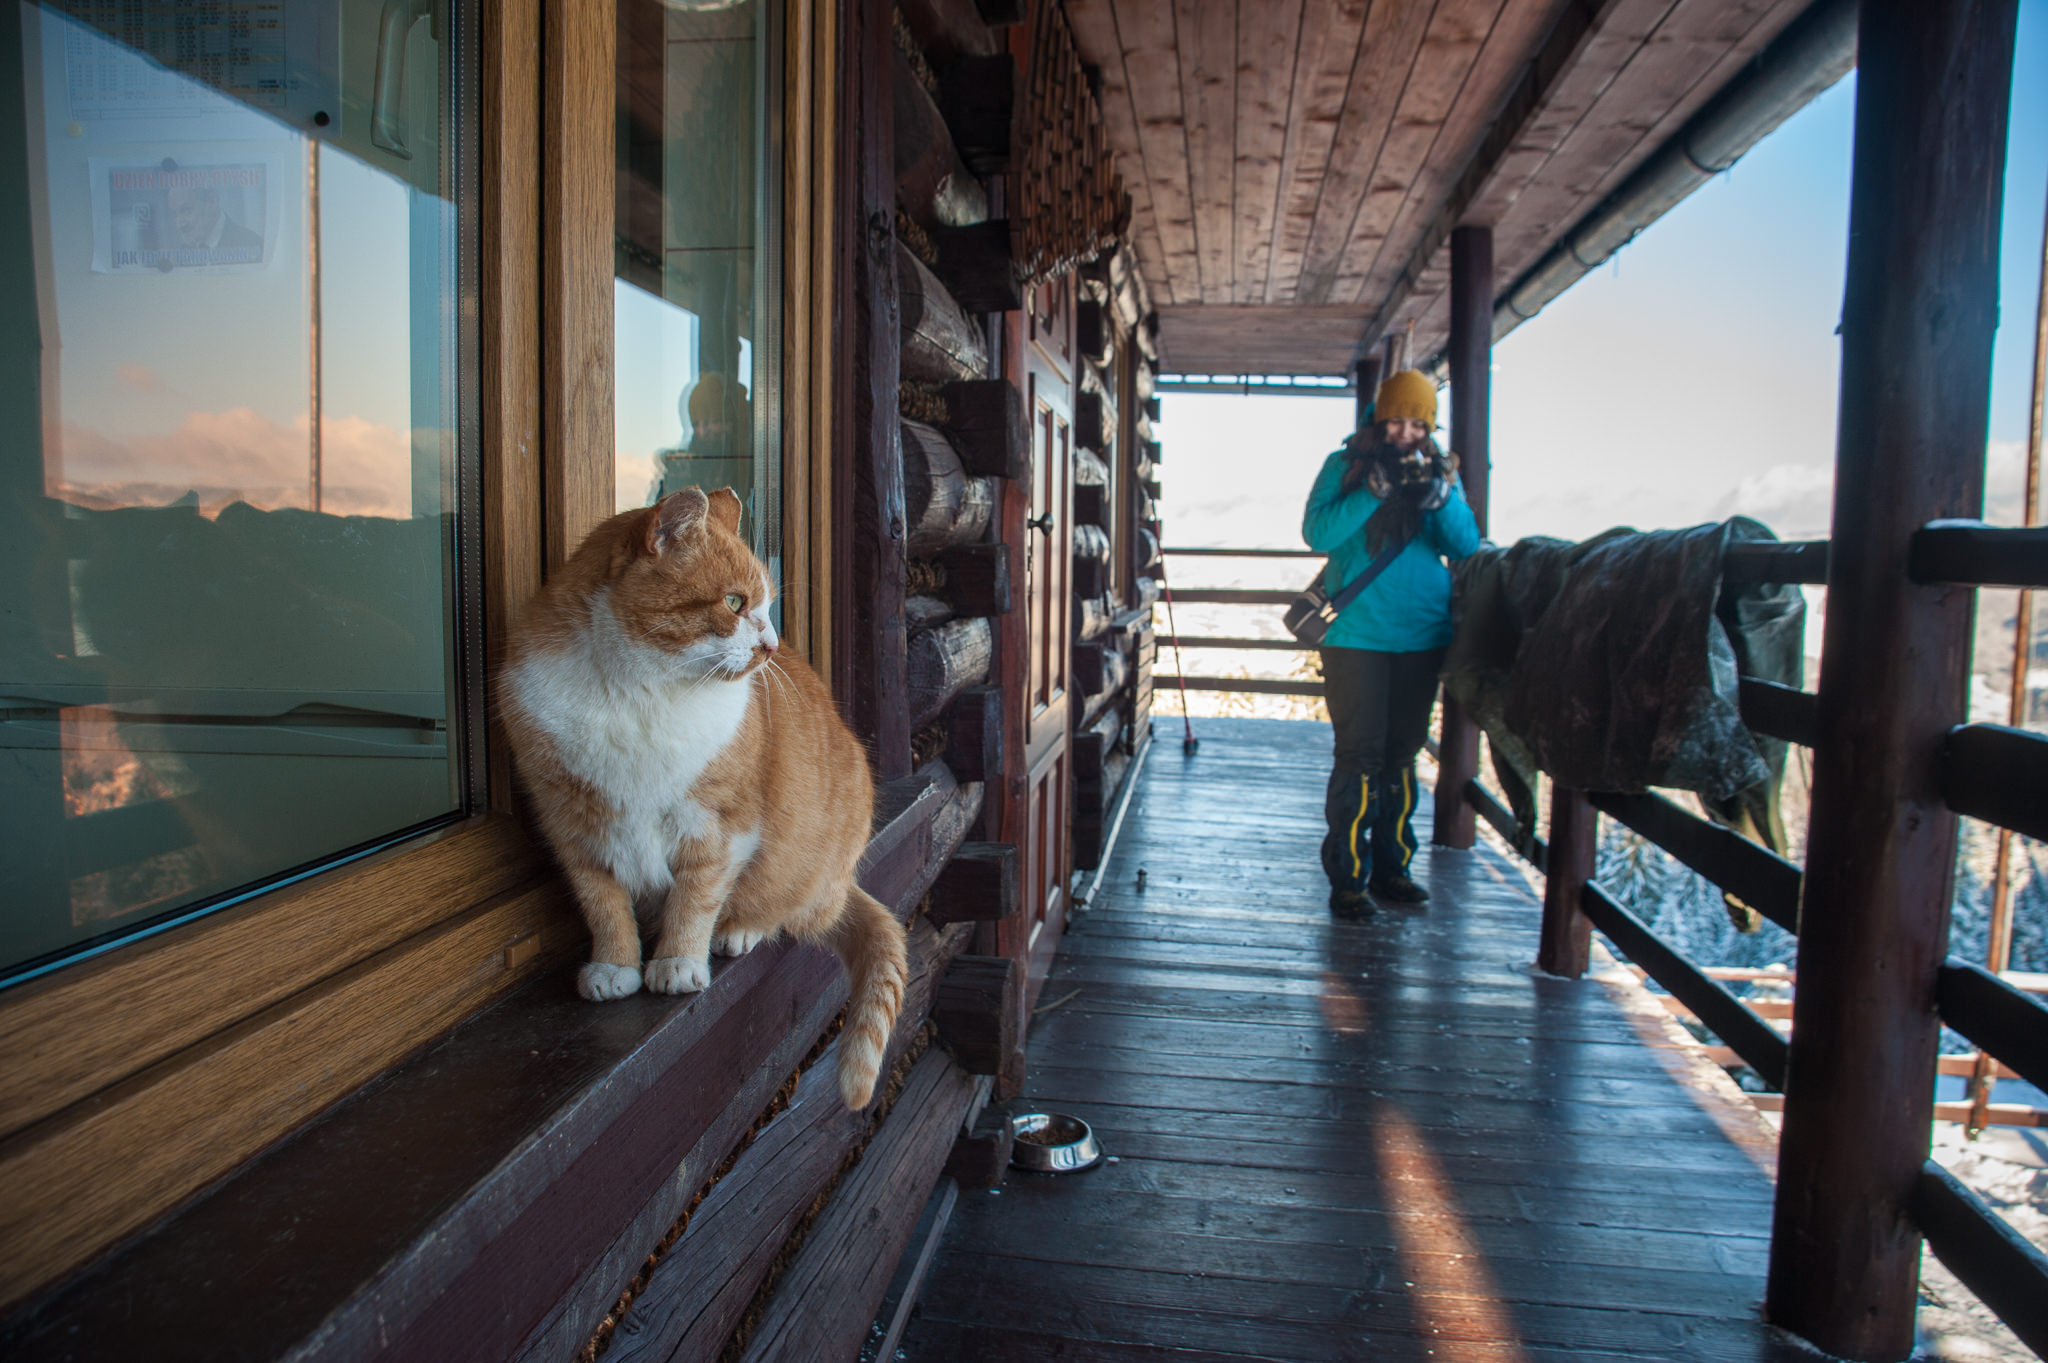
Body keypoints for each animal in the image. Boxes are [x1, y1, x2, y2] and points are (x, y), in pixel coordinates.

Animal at [501, 485, 905, 1105]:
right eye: (736, 603)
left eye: (765, 606)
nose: (771, 645)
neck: (638, 693)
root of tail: (844, 883)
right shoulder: (574, 828)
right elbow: (604, 905)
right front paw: (615, 966)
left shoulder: (719, 825)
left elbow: (696, 897)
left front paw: (676, 961)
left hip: (810, 867)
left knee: (783, 907)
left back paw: (741, 930)